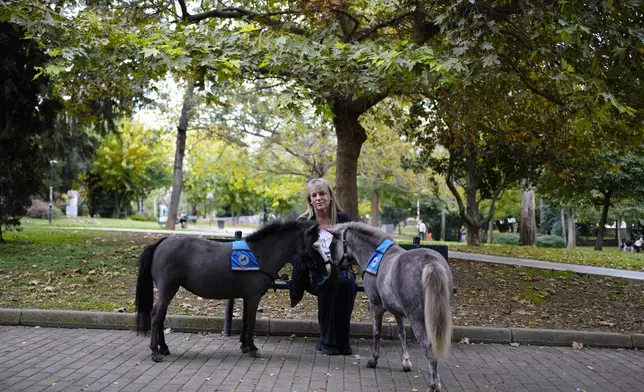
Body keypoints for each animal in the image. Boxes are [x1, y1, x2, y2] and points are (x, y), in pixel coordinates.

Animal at [138, 220, 324, 362]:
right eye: (316, 244)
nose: (325, 269)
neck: (260, 254)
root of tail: (162, 243)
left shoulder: (247, 297)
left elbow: (245, 320)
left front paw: (244, 345)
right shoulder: (254, 297)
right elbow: (251, 321)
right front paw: (253, 347)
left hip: (170, 289)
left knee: (161, 317)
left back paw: (164, 348)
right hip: (167, 288)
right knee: (156, 316)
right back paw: (155, 351)